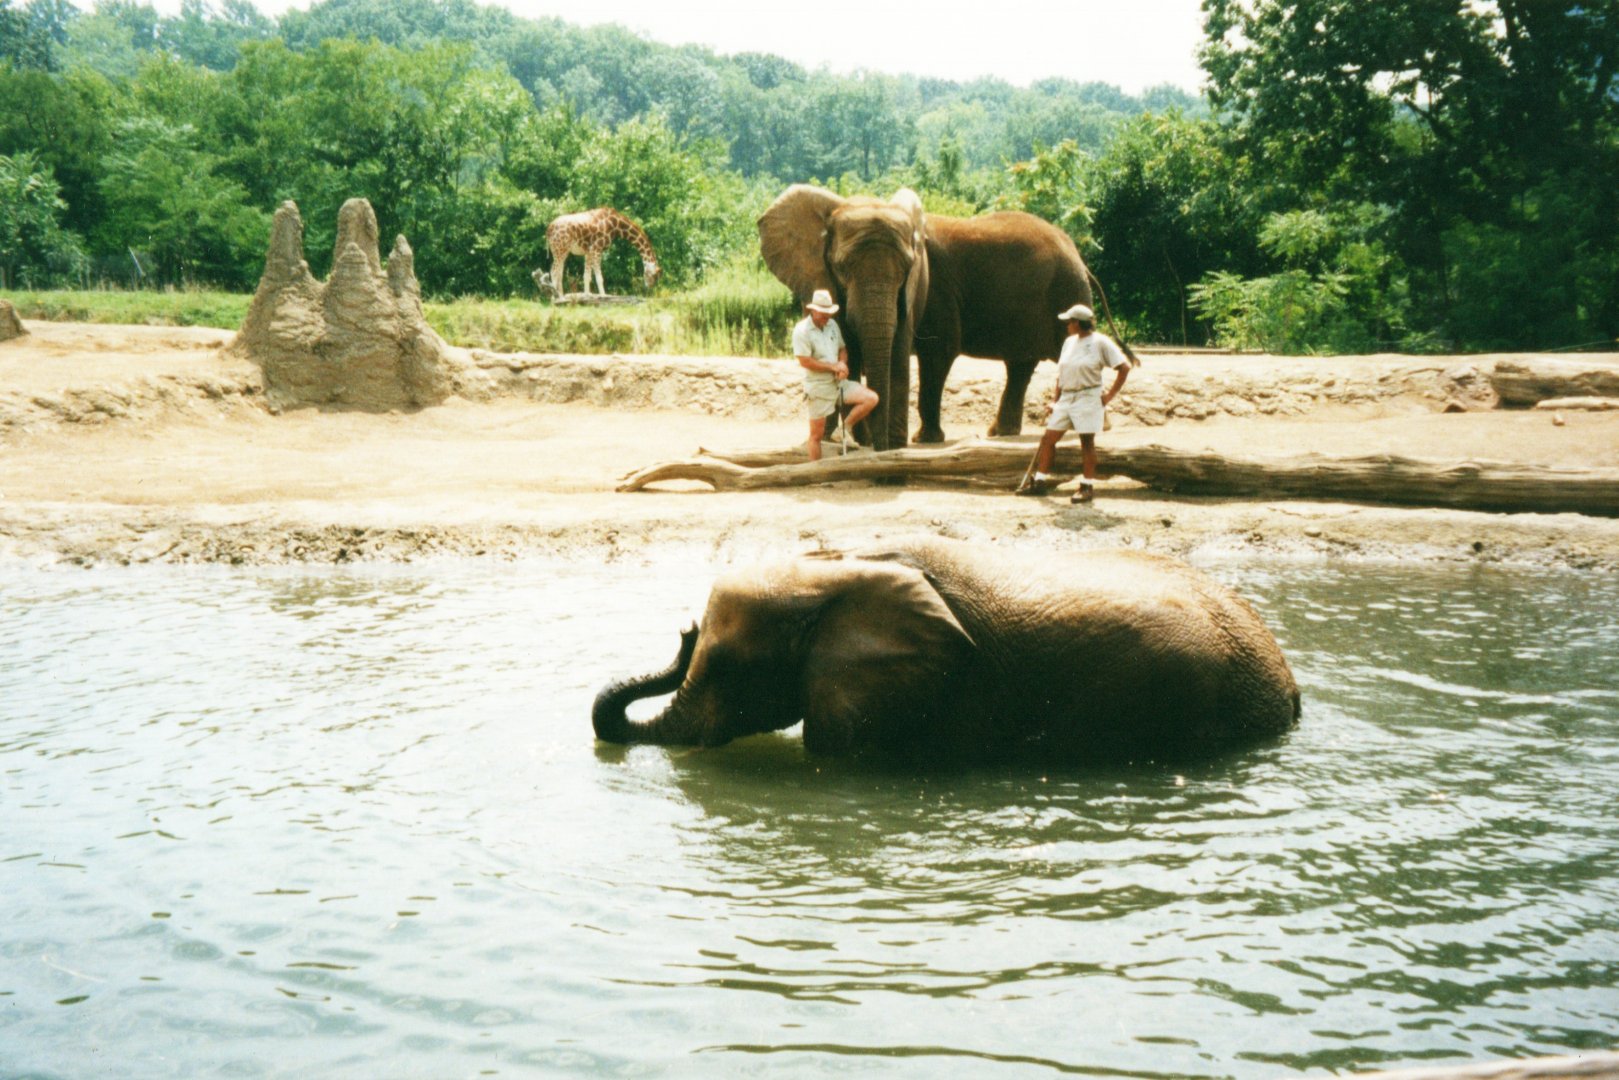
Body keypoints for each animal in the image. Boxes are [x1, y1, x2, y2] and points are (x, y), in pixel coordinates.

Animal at [759, 185, 1094, 450]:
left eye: (907, 268)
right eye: (842, 267)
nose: (879, 447)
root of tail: (1075, 250)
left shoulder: (932, 288)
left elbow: (935, 350)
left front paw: (913, 441)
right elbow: (848, 350)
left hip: (1068, 292)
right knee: (1020, 366)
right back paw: (1000, 432)